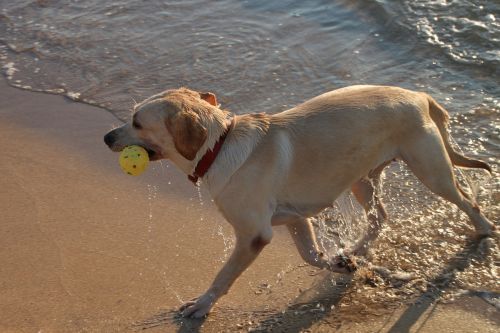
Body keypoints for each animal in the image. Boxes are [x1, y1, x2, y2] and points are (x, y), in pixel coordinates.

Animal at [103, 85, 494, 316]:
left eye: (137, 122)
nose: (106, 137)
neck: (219, 146)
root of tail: (418, 95)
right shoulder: (295, 219)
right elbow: (311, 255)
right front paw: (342, 264)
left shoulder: (253, 235)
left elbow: (224, 275)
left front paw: (202, 304)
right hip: (361, 179)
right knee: (379, 216)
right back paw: (358, 248)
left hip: (430, 170)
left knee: (467, 202)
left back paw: (485, 229)